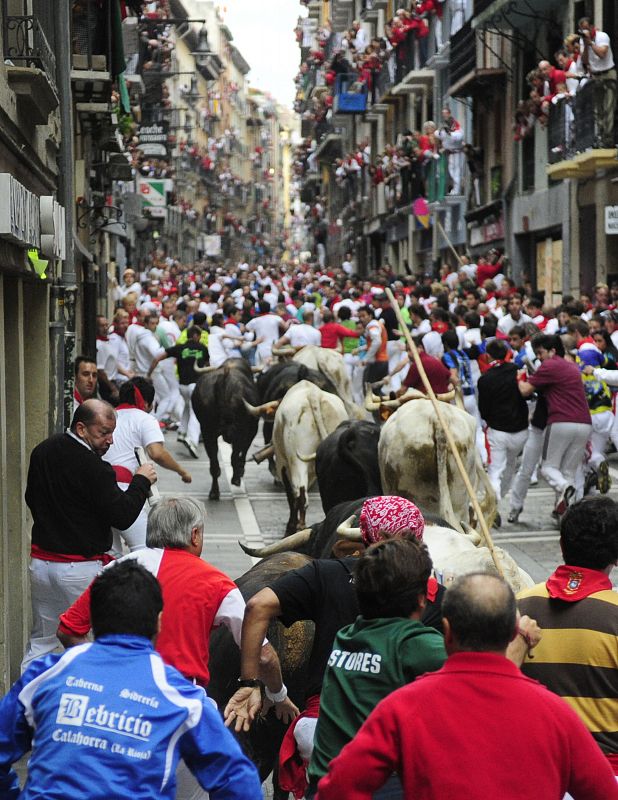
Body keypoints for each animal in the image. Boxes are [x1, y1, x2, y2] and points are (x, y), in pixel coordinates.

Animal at [192, 358, 260, 496]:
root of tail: (225, 380)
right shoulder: (250, 430)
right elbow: (242, 453)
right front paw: (239, 473)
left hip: (207, 432)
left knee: (214, 464)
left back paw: (214, 492)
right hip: (239, 431)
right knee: (234, 457)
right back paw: (235, 478)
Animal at [270, 382, 346, 536]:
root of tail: (314, 393)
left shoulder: (282, 464)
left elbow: (290, 495)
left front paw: (290, 526)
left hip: (296, 461)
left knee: (300, 494)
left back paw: (299, 527)